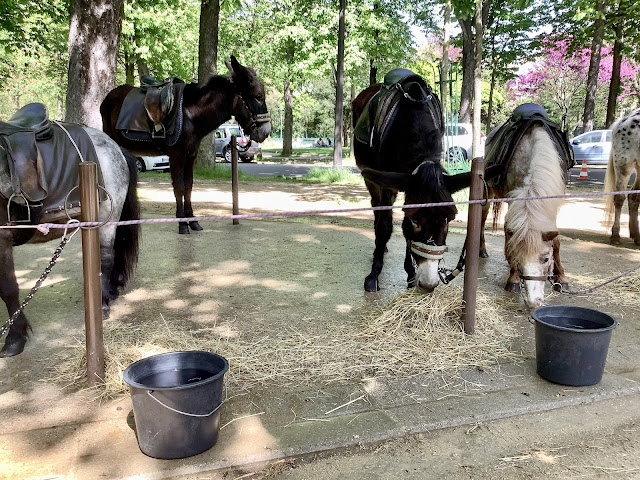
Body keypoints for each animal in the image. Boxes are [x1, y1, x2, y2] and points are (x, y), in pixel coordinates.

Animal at [101, 56, 272, 234]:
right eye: (258, 96)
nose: (266, 131)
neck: (191, 114)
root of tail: (109, 96)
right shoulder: (177, 156)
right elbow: (179, 187)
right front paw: (182, 223)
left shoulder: (191, 156)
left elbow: (189, 186)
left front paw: (192, 220)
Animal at [352, 68, 502, 292]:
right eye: (415, 220)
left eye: (450, 219)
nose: (429, 284)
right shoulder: (388, 184)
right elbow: (386, 226)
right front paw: (374, 274)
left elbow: (405, 235)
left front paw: (411, 273)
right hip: (372, 178)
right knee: (376, 209)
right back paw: (380, 248)